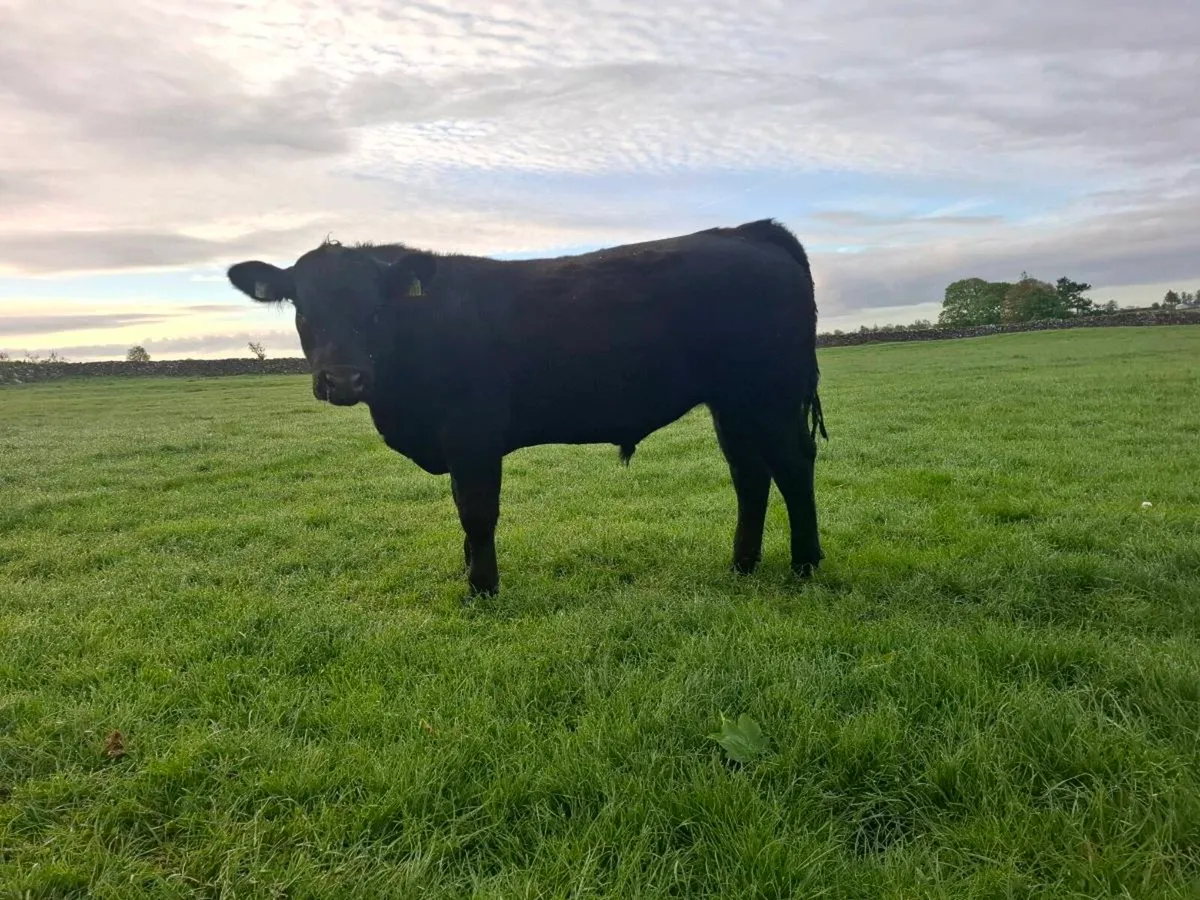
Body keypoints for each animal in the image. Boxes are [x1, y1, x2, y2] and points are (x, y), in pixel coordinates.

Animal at [226, 218, 828, 597]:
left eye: (376, 307)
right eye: (303, 306)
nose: (343, 378)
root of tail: (751, 232)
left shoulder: (472, 433)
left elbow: (476, 510)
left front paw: (482, 589)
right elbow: (463, 511)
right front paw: (471, 574)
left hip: (770, 395)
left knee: (794, 469)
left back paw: (805, 565)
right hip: (733, 403)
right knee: (750, 476)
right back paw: (742, 566)